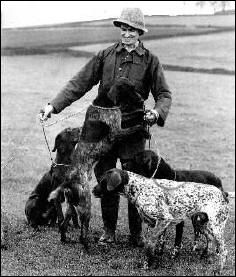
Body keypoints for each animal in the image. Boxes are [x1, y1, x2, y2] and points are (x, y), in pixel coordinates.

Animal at [93, 167, 230, 272]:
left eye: (102, 181)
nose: (92, 190)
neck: (139, 189)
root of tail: (223, 193)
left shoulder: (164, 219)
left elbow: (149, 244)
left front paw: (147, 264)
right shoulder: (152, 224)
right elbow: (155, 245)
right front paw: (149, 262)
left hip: (215, 227)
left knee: (223, 251)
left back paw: (218, 270)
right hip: (202, 225)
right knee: (211, 245)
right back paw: (208, 260)